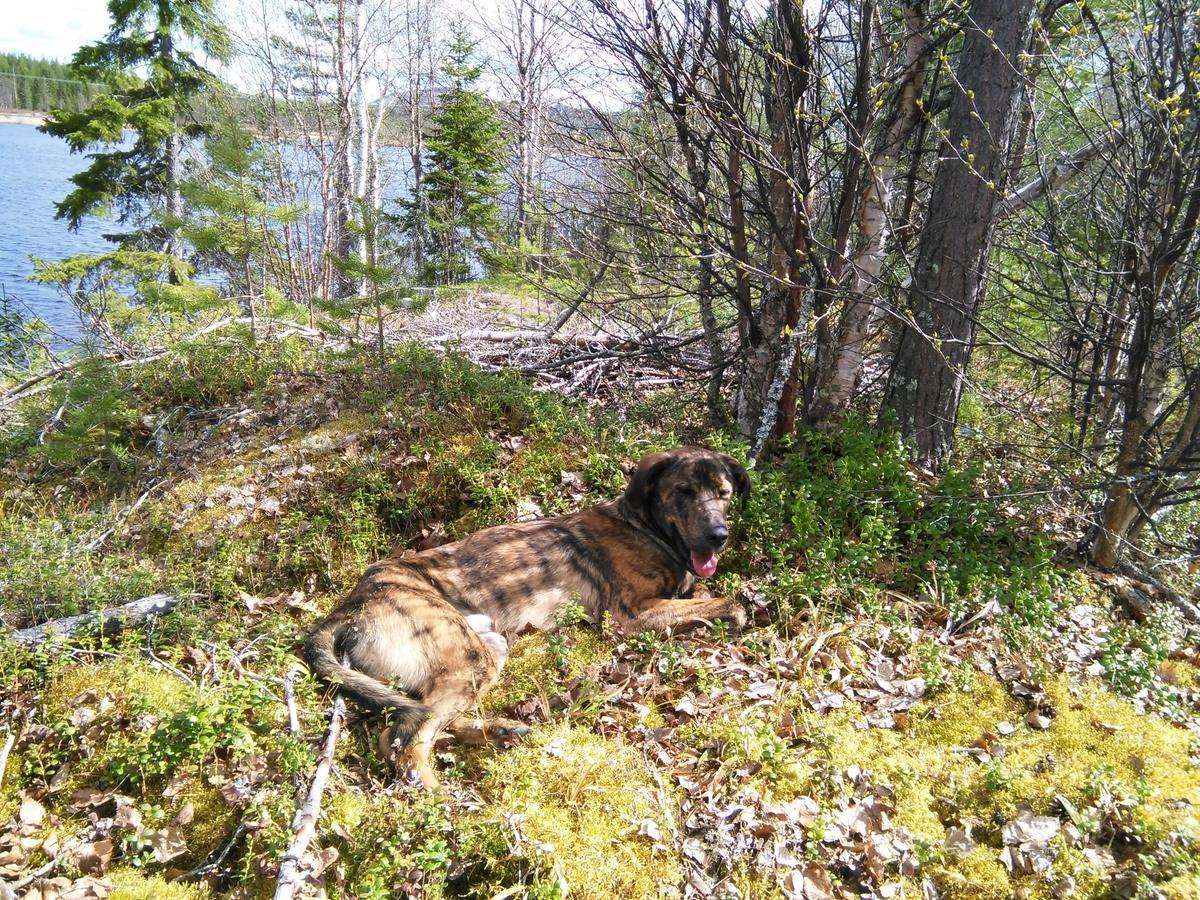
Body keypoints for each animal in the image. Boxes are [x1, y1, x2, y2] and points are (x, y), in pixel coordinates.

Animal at [304, 448, 744, 787]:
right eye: (684, 492)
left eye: (724, 494)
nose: (719, 536)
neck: (643, 526)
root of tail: (349, 605)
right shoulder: (631, 614)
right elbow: (730, 605)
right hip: (466, 656)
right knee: (403, 741)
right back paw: (440, 803)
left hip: (484, 650)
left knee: (424, 712)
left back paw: (501, 729)